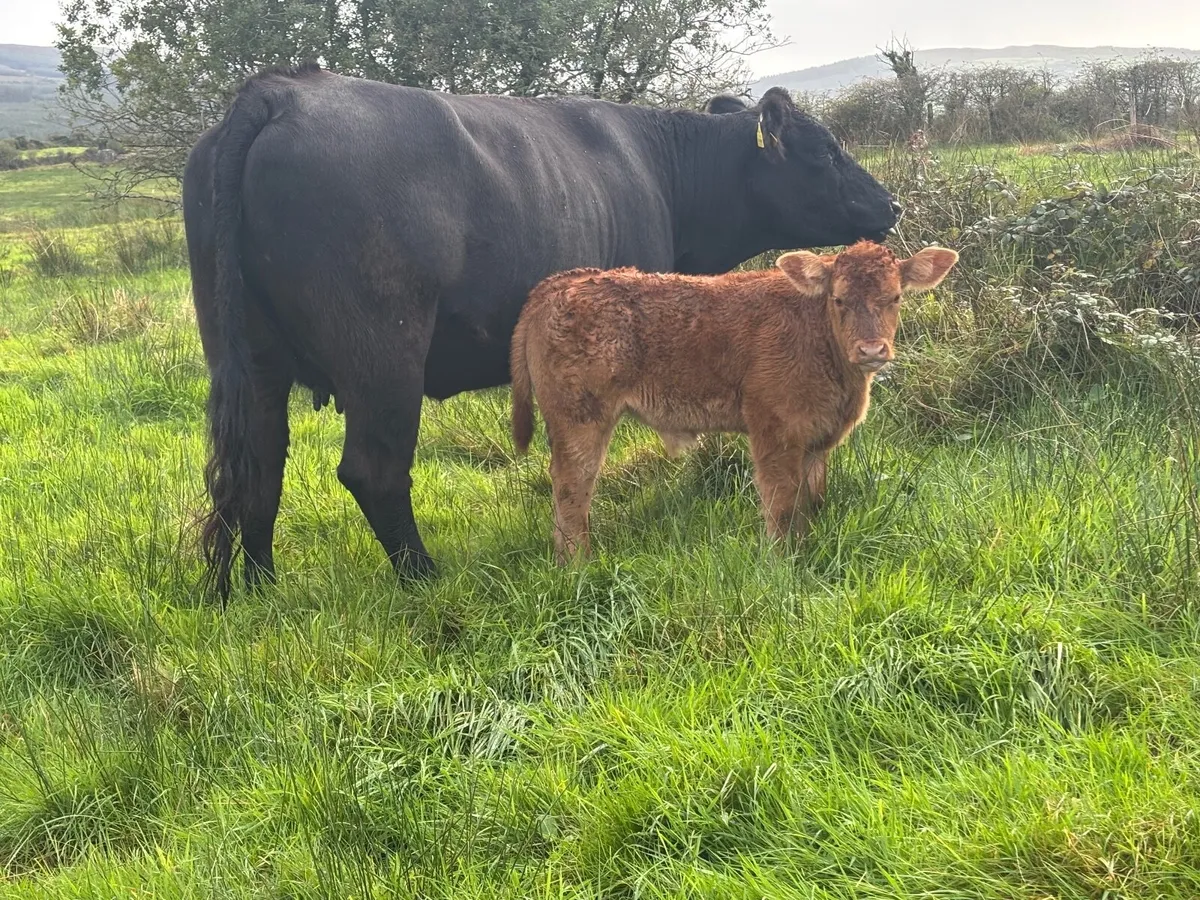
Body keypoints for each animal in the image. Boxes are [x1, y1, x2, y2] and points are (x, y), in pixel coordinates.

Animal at [182, 63, 902, 599]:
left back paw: (261, 588)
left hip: (251, 357)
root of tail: (279, 91)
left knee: (258, 468)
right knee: (373, 470)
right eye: (826, 150)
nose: (891, 204)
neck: (665, 173)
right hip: (382, 354)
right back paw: (426, 579)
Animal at [509, 241, 959, 563]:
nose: (871, 350)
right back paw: (578, 565)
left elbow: (811, 501)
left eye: (895, 297)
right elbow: (781, 504)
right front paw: (781, 563)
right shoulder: (773, 431)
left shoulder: (816, 440)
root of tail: (565, 281)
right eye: (838, 299)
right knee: (572, 488)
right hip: (580, 419)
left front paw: (805, 548)